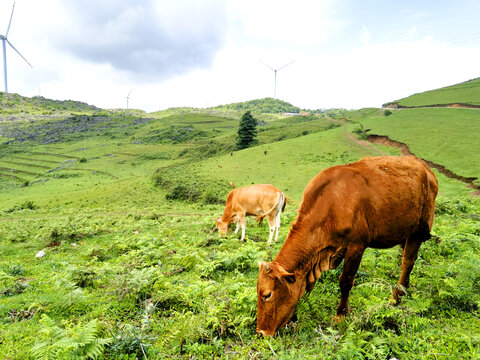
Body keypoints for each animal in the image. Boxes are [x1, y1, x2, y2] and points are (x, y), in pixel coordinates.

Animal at [256, 156, 436, 336]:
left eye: (267, 294)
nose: (261, 332)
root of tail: (424, 167)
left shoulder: (356, 245)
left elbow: (346, 281)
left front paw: (340, 315)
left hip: (419, 230)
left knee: (407, 262)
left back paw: (396, 297)